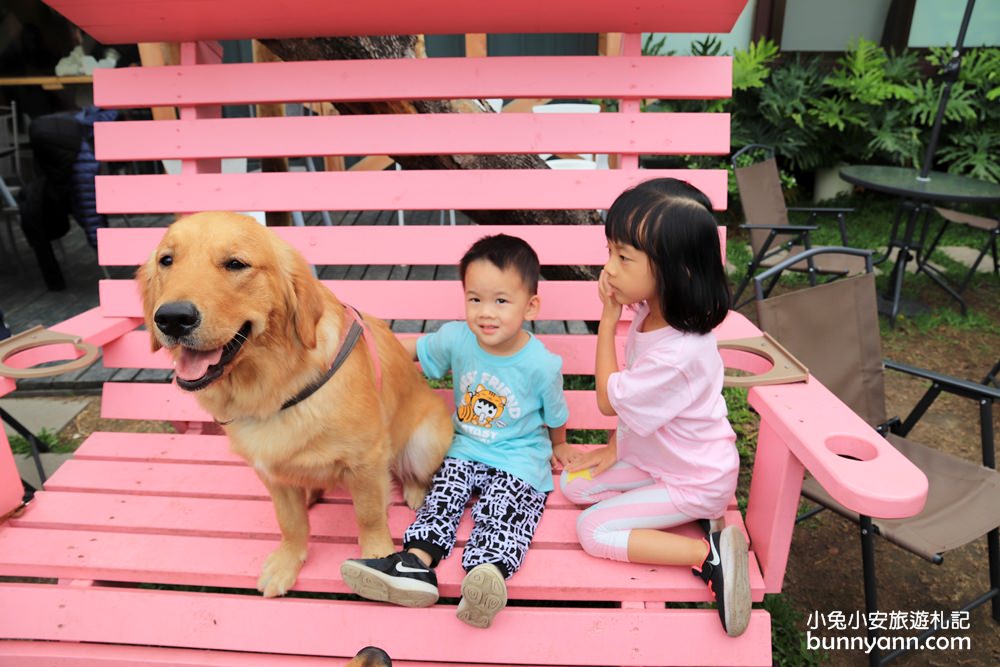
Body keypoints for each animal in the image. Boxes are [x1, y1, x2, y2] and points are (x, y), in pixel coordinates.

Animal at [139, 214, 452, 600]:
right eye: (166, 260)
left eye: (236, 264)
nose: (172, 317)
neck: (273, 390)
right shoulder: (271, 474)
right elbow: (290, 522)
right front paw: (288, 561)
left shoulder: (366, 461)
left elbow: (369, 515)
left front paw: (378, 556)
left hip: (425, 441)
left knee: (414, 472)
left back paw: (413, 490)